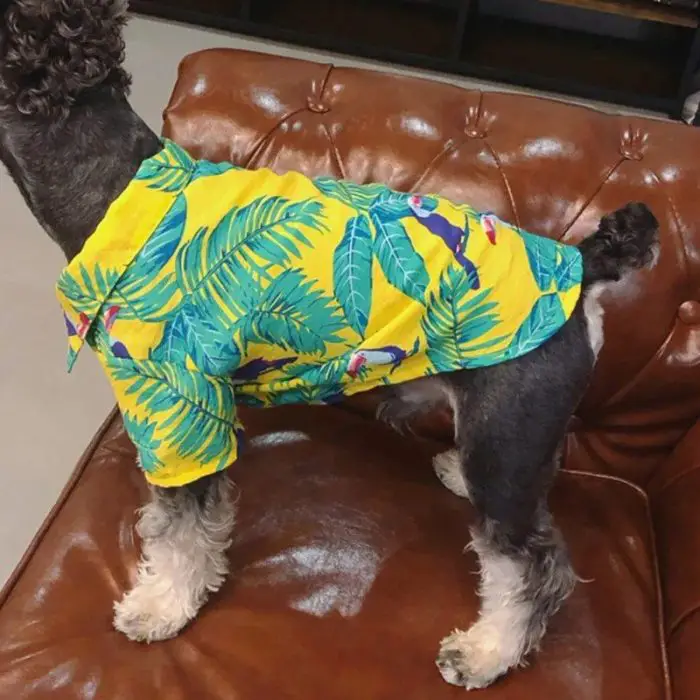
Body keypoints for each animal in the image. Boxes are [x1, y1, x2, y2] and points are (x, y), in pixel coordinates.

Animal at [0, 0, 656, 688]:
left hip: (508, 436)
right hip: (518, 434)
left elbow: (183, 531)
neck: (119, 189)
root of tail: (583, 267)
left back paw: (487, 650)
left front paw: (162, 606)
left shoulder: (181, 416)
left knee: (532, 562)